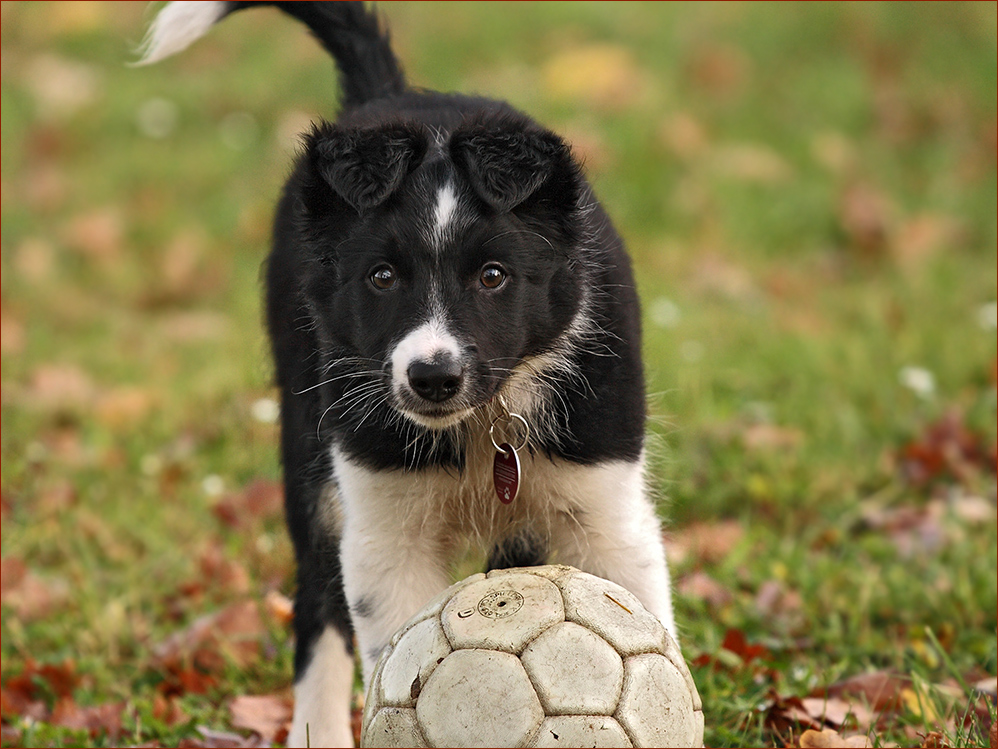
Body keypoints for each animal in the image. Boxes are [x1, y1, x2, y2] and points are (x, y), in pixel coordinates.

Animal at [139, 2, 680, 744]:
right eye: (382, 277)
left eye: (493, 276)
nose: (432, 378)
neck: (484, 422)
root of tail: (389, 97)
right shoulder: (384, 527)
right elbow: (394, 649)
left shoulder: (605, 504)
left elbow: (646, 620)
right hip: (310, 453)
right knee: (317, 607)